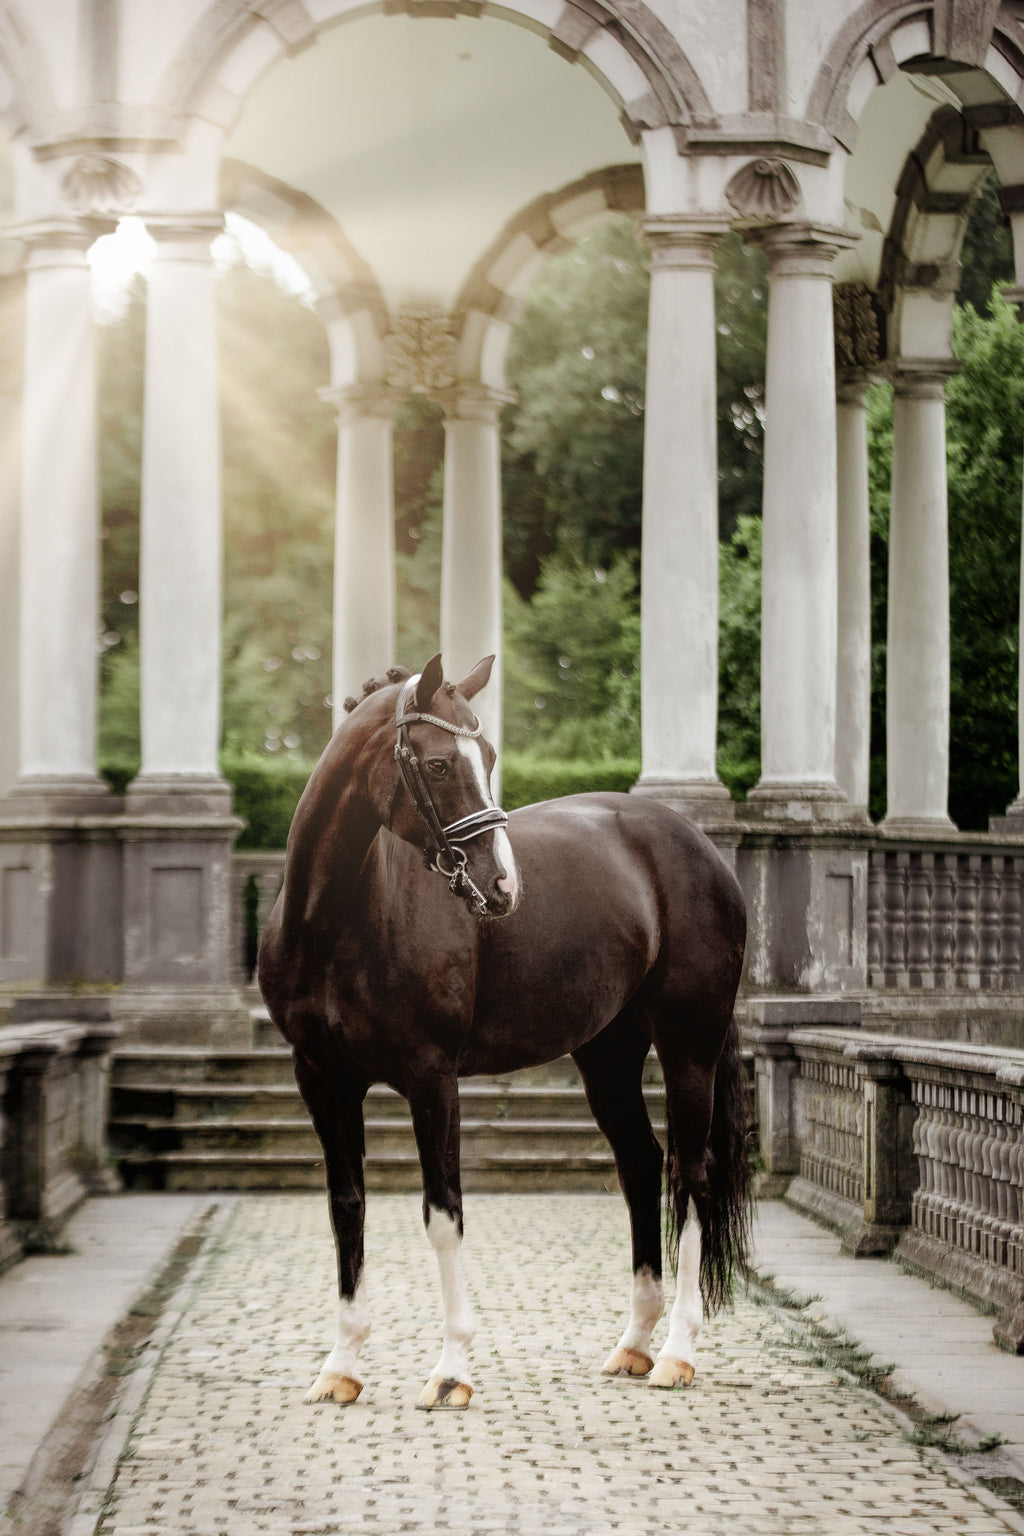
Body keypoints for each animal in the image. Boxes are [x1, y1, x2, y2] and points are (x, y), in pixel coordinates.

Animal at [258, 653, 749, 1411]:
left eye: (486, 757)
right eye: (436, 764)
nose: (502, 886)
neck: (336, 918)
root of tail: (697, 846)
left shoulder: (432, 1080)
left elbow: (443, 1211)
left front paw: (451, 1369)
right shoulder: (321, 1080)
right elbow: (347, 1208)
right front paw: (340, 1366)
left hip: (689, 1047)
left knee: (689, 1175)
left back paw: (677, 1352)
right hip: (607, 1055)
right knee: (640, 1166)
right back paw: (634, 1344)